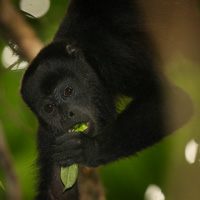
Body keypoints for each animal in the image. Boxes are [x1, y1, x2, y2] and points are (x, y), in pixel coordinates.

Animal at [20, 0, 194, 199]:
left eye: (68, 91)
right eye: (49, 108)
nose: (66, 115)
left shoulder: (111, 55)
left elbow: (169, 98)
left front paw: (90, 149)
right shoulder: (49, 135)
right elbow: (56, 190)